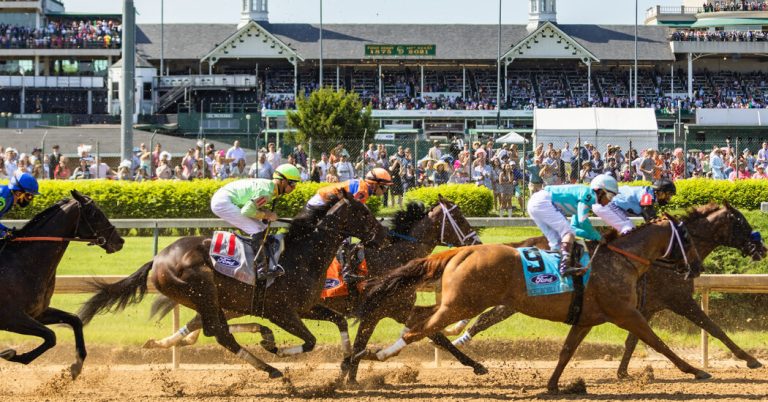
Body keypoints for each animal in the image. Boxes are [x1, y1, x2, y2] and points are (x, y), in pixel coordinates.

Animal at [0, 192, 123, 380]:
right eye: (95, 213)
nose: (119, 241)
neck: (21, 263)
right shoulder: (10, 317)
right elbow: (51, 336)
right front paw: (10, 354)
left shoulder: (37, 312)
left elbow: (75, 320)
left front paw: (77, 365)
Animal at [81, 193, 388, 378]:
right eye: (363, 212)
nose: (383, 235)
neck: (302, 255)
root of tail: (157, 259)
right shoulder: (281, 312)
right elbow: (310, 341)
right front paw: (278, 350)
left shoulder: (307, 307)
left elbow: (340, 322)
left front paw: (346, 363)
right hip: (203, 289)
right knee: (219, 332)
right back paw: (270, 365)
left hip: (211, 298)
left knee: (214, 328)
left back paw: (262, 339)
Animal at [354, 214, 708, 392]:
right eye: (687, 238)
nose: (697, 267)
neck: (622, 260)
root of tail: (461, 251)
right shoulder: (625, 312)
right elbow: (658, 342)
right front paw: (696, 371)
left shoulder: (586, 319)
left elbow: (566, 351)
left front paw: (553, 384)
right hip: (463, 303)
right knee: (419, 328)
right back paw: (377, 354)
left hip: (456, 302)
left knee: (421, 319)